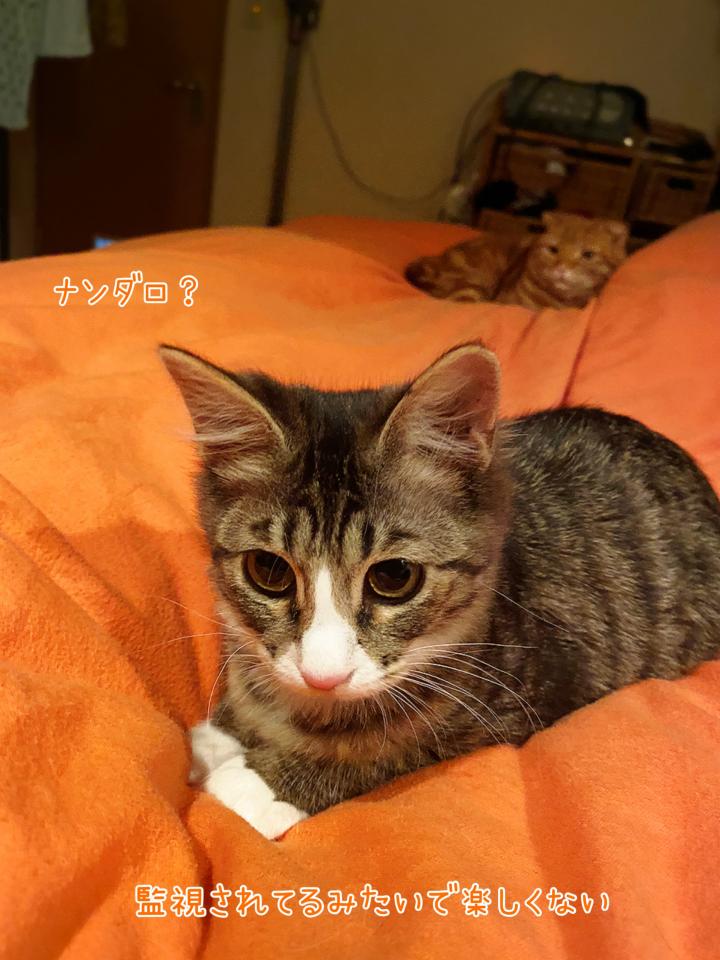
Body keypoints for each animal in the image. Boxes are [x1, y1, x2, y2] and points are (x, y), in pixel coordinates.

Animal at [160, 341, 720, 839]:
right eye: (269, 571)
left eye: (393, 578)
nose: (322, 676)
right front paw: (222, 732)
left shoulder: (526, 695)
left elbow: (398, 743)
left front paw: (257, 785)